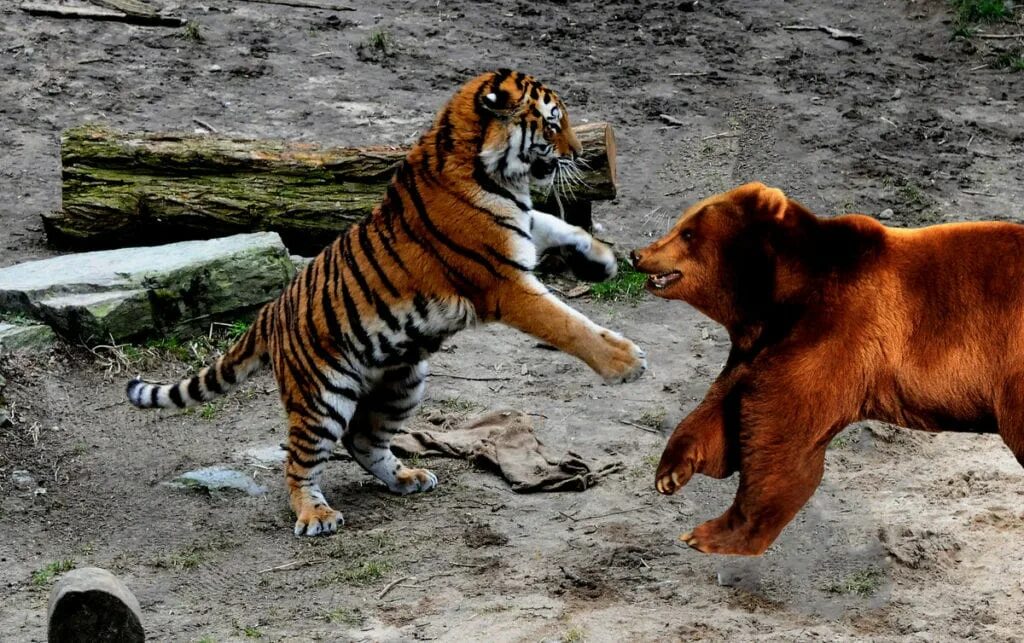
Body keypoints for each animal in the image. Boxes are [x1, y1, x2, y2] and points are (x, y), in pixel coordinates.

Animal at [123, 67, 643, 536]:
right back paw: (316, 516)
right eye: (553, 124)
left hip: (403, 381)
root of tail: (270, 311)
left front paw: (601, 258)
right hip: (322, 397)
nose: (580, 153)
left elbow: (558, 225)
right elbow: (566, 322)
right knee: (298, 461)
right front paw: (625, 361)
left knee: (362, 440)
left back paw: (407, 478)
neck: (493, 173)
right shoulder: (504, 283)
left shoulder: (520, 230)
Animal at [630, 182, 1024, 556]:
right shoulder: (758, 348)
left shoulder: (832, 336)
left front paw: (713, 533)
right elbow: (720, 406)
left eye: (688, 233)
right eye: (681, 224)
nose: (637, 255)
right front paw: (671, 472)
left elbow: (779, 436)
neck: (779, 296)